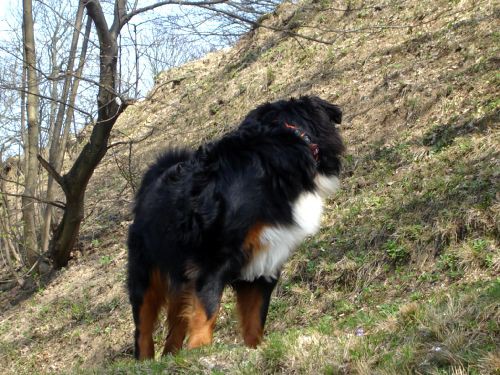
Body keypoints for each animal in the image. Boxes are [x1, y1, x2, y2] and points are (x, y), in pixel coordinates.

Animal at [128, 95, 344, 360]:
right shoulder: (213, 259)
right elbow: (207, 310)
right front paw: (200, 350)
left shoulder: (265, 263)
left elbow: (255, 320)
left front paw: (253, 351)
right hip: (147, 274)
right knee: (143, 330)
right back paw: (145, 360)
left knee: (173, 332)